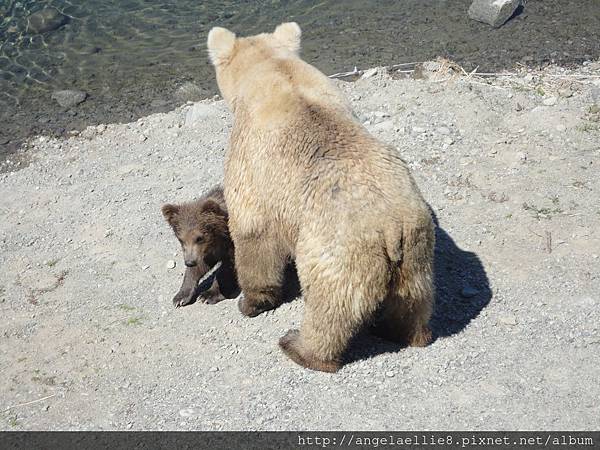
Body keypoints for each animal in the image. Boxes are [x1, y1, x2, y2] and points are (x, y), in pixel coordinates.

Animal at [209, 22, 434, 372]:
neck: (274, 71)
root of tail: (390, 227)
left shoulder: (254, 166)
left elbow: (252, 231)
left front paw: (251, 302)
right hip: (417, 245)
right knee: (412, 299)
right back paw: (403, 332)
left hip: (337, 250)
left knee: (329, 307)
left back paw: (300, 346)